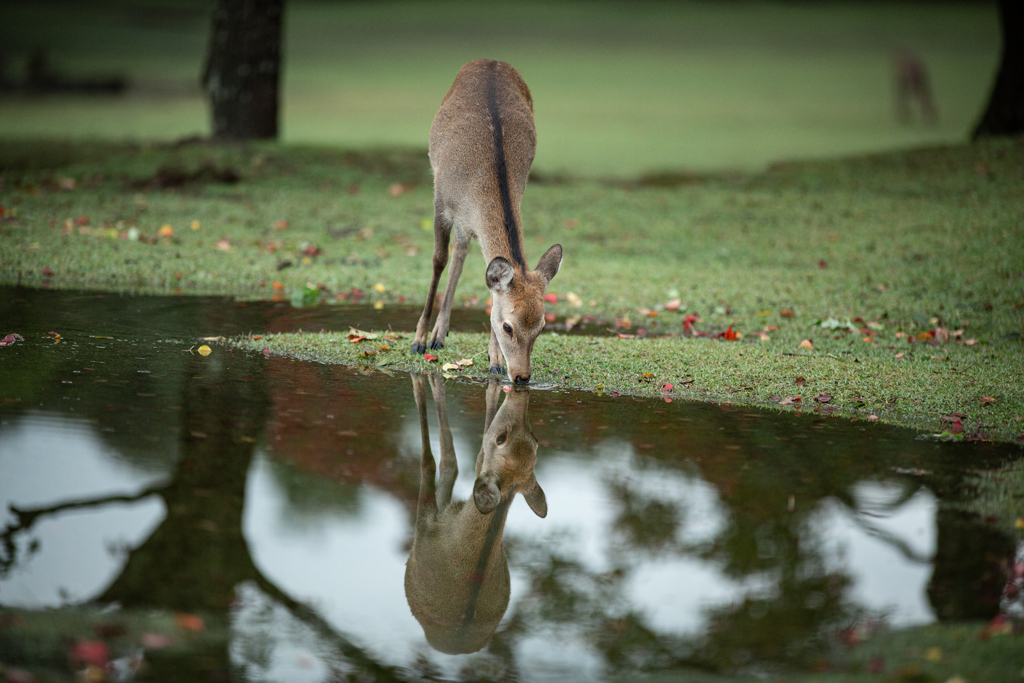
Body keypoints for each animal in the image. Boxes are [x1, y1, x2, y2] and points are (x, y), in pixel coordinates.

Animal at [403, 374, 548, 655]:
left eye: (500, 439)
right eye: (537, 441)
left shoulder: (423, 531)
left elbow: (428, 463)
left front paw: (420, 384)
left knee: (449, 463)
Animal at [411, 58, 565, 385]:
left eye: (542, 327)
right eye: (507, 326)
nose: (521, 376)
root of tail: (490, 60)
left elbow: (489, 285)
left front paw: (494, 361)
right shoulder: (440, 203)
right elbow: (437, 261)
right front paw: (417, 340)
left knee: (461, 251)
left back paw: (441, 334)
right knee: (452, 256)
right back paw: (433, 337)